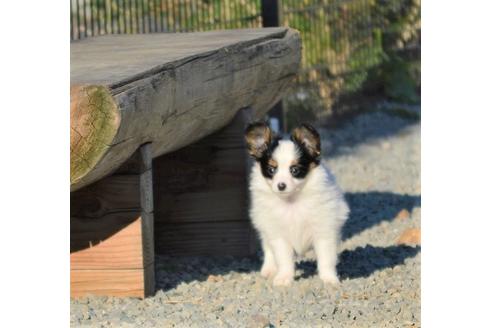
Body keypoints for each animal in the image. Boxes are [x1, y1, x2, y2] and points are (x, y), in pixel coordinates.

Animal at [244, 121, 348, 286]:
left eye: (294, 170)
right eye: (271, 170)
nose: (281, 185)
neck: (292, 201)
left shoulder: (324, 230)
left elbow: (326, 258)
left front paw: (329, 279)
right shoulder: (278, 235)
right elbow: (284, 259)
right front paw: (284, 278)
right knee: (268, 248)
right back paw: (269, 269)